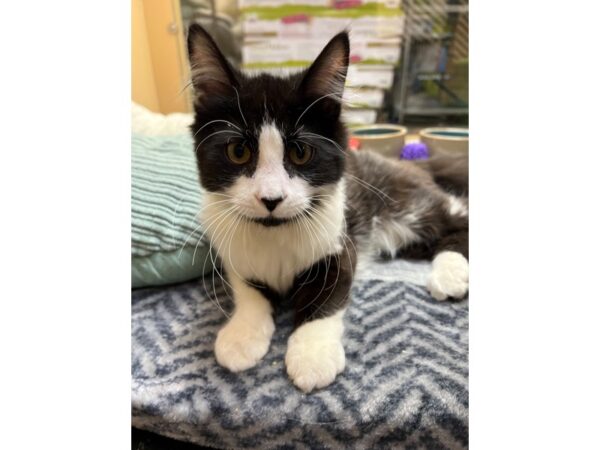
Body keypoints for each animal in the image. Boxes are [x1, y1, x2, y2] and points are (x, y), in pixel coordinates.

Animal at [188, 24, 468, 392]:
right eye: (238, 152)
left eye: (301, 153)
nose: (271, 199)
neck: (275, 233)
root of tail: (406, 164)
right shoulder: (233, 250)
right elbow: (249, 292)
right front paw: (242, 335)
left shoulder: (339, 239)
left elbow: (325, 297)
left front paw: (312, 356)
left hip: (404, 204)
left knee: (457, 215)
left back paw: (450, 273)